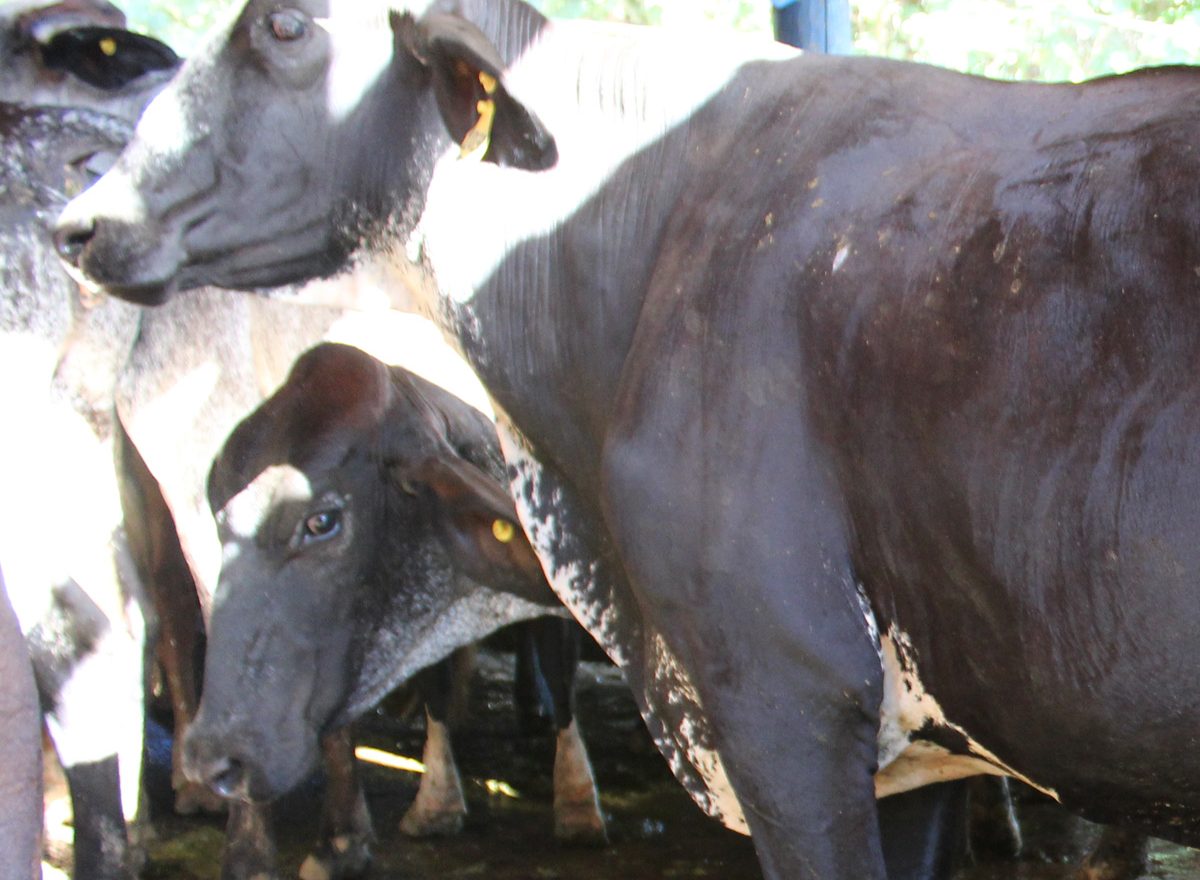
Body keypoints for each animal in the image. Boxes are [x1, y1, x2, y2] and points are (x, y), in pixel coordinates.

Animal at [183, 341, 606, 879]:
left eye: (322, 521)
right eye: (218, 514)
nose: (211, 760)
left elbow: (559, 667)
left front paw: (578, 804)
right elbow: (436, 688)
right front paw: (436, 803)